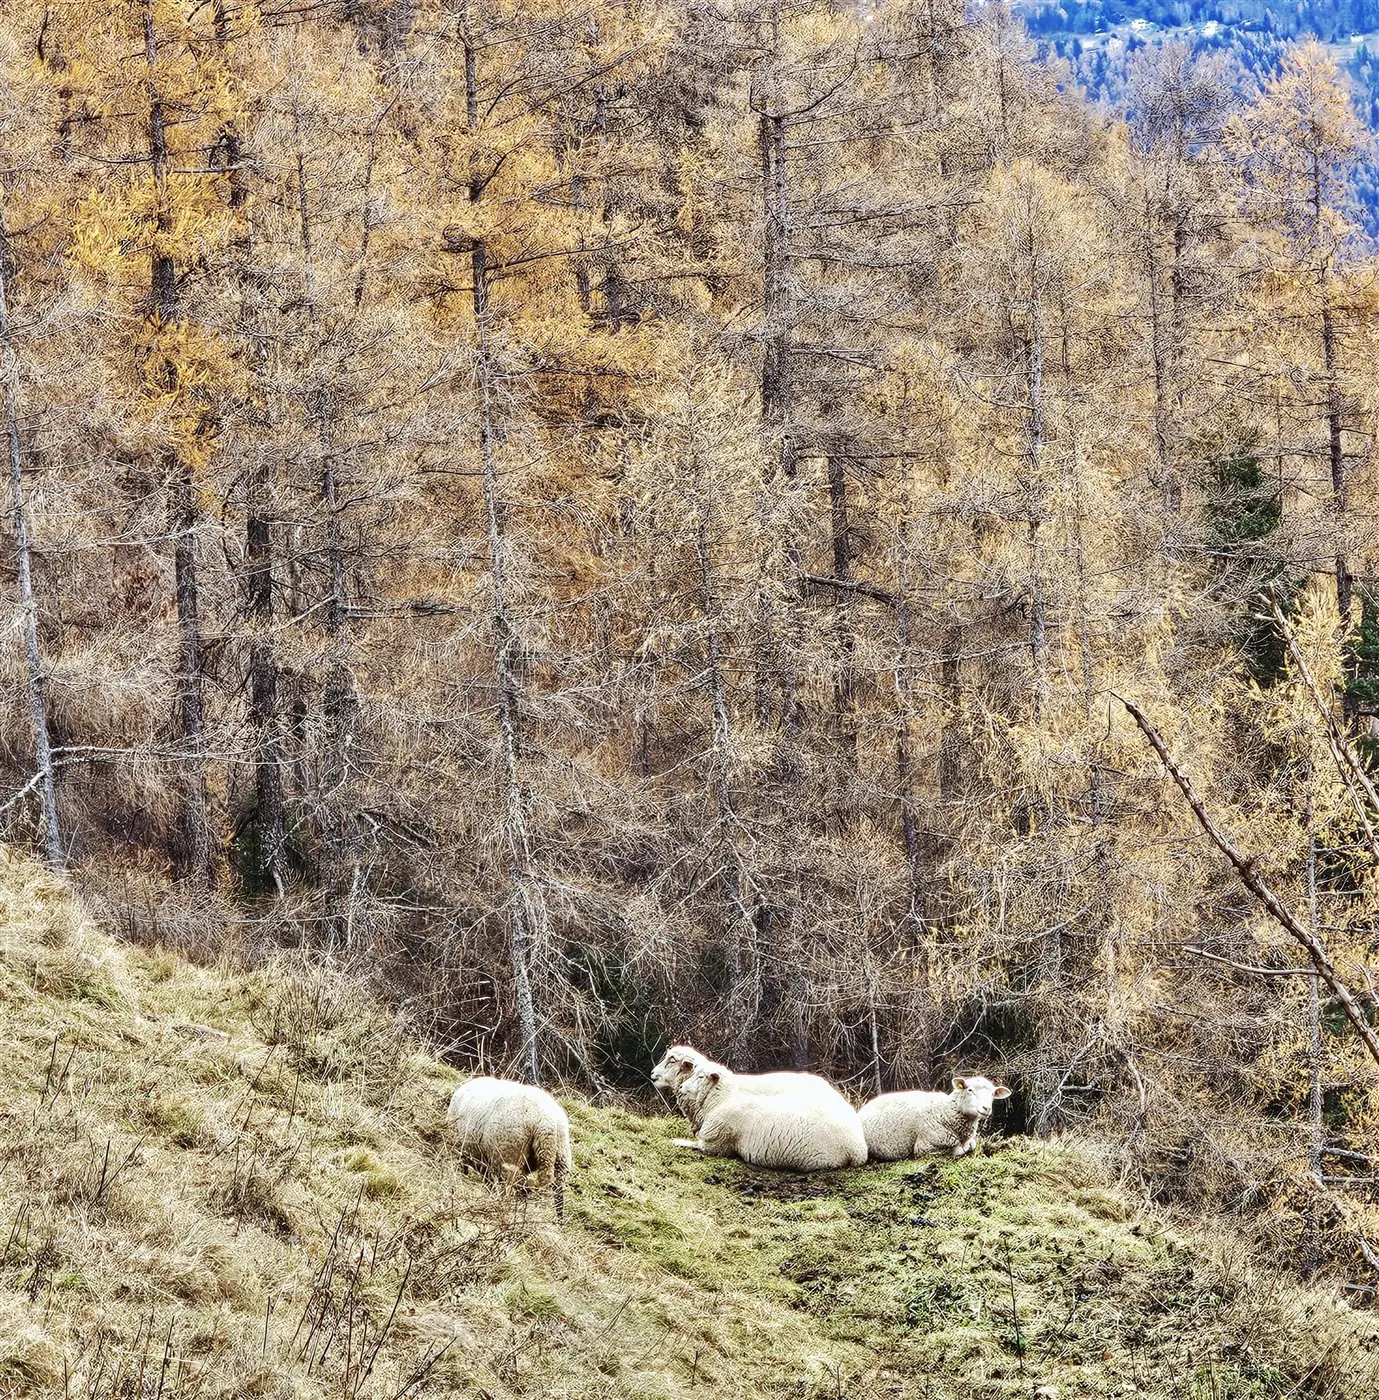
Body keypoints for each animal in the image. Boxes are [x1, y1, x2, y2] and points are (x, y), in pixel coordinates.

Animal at [445, 1076, 572, 1218]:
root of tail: (545, 1123)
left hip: (508, 1154)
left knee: (516, 1188)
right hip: (561, 1156)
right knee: (558, 1193)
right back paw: (558, 1219)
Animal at [672, 1065, 868, 1171]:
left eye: (700, 1076)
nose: (681, 1087)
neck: (723, 1099)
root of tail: (859, 1148)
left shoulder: (715, 1144)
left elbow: (696, 1144)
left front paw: (676, 1140)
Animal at [859, 1076, 1011, 1161]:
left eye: (993, 1094)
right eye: (970, 1090)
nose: (986, 1108)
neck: (946, 1111)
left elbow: (972, 1145)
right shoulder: (925, 1147)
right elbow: (958, 1150)